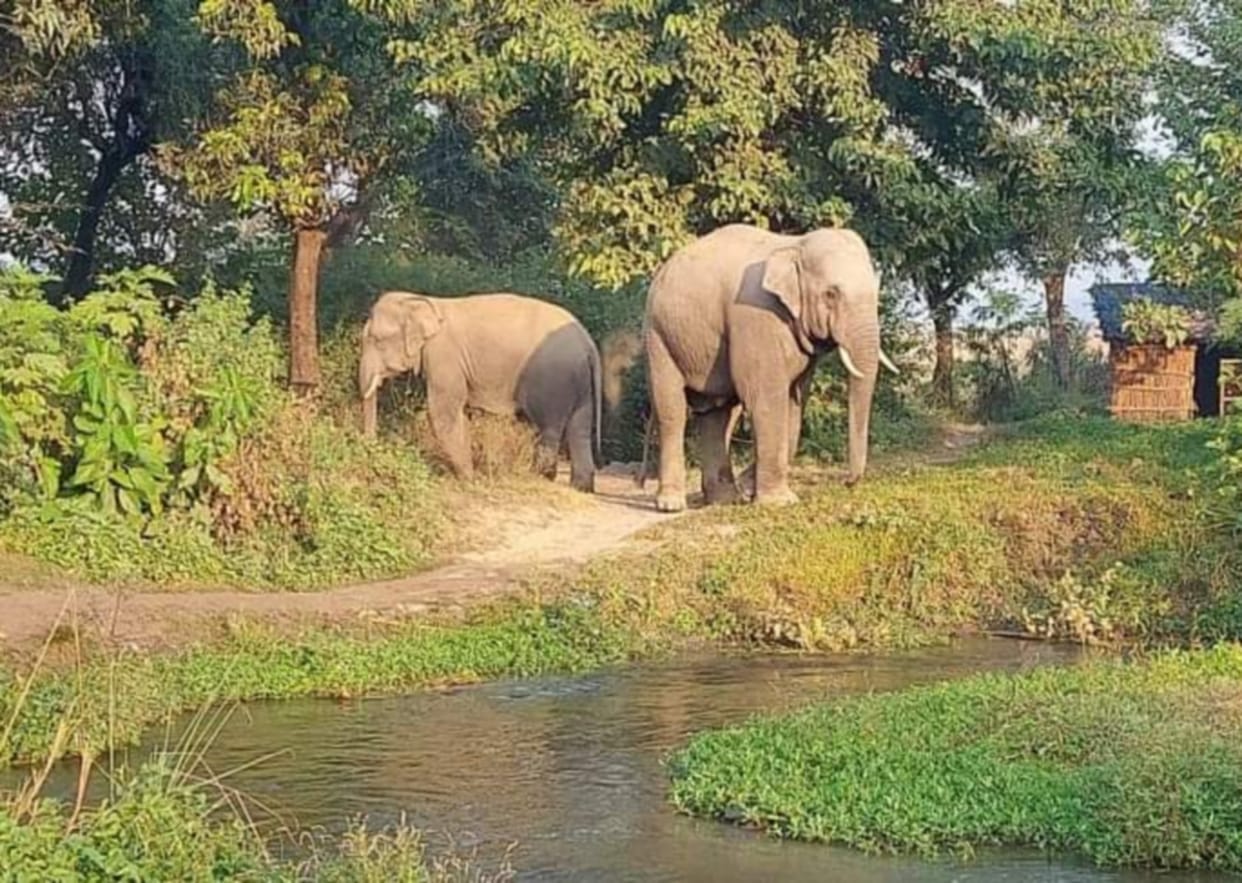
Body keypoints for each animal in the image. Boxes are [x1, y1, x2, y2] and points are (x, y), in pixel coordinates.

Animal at [359, 291, 602, 492]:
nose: (370, 450)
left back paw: (539, 477)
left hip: (553, 380)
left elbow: (442, 415)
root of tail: (588, 344)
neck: (423, 302)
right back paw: (581, 487)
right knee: (579, 429)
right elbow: (460, 415)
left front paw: (467, 479)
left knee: (549, 428)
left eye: (377, 340)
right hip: (581, 384)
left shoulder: (444, 357)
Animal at [644, 223, 897, 512]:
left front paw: (757, 493)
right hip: (659, 337)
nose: (847, 482)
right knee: (672, 411)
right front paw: (779, 502)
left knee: (718, 414)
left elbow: (794, 402)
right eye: (831, 294)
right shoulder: (756, 317)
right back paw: (672, 504)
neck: (795, 245)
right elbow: (766, 398)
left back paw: (726, 500)